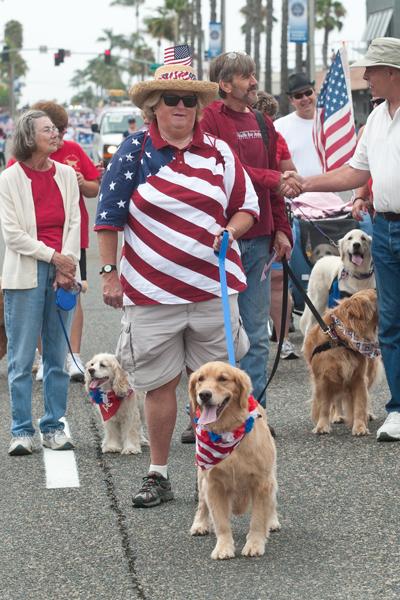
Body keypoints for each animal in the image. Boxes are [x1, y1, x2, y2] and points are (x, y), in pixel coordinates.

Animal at [189, 360, 280, 564]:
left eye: (223, 379)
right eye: (200, 379)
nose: (204, 395)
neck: (226, 431)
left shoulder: (261, 482)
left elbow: (258, 519)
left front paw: (254, 544)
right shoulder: (213, 485)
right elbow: (221, 522)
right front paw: (223, 547)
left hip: (271, 475)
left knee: (272, 501)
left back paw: (272, 521)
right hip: (201, 476)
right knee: (202, 504)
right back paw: (199, 523)